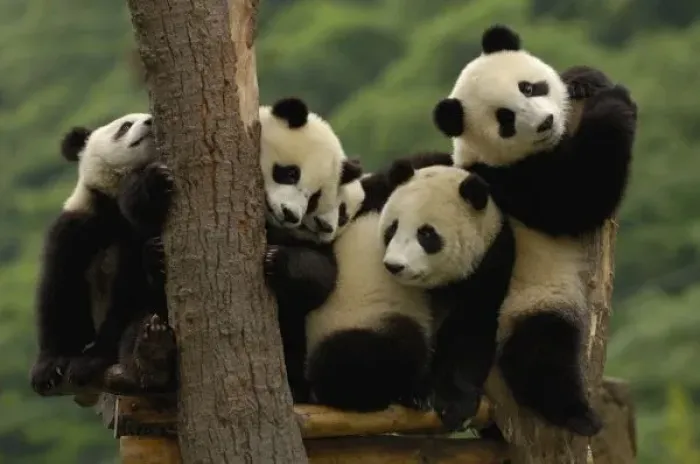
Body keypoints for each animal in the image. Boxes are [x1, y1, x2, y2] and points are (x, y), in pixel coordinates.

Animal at [30, 113, 176, 398]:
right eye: (125, 126)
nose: (150, 121)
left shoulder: (135, 234)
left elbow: (129, 294)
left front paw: (90, 361)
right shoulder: (82, 223)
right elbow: (59, 287)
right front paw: (48, 367)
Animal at [378, 162, 515, 430]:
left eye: (426, 234)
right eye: (392, 228)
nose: (394, 266)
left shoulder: (490, 263)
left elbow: (470, 330)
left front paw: (454, 405)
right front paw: (413, 391)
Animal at [430, 24, 637, 437]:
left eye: (528, 87)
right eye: (505, 119)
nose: (545, 123)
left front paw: (585, 80)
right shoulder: (506, 182)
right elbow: (577, 197)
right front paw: (615, 100)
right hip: (528, 300)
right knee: (541, 353)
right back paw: (577, 415)